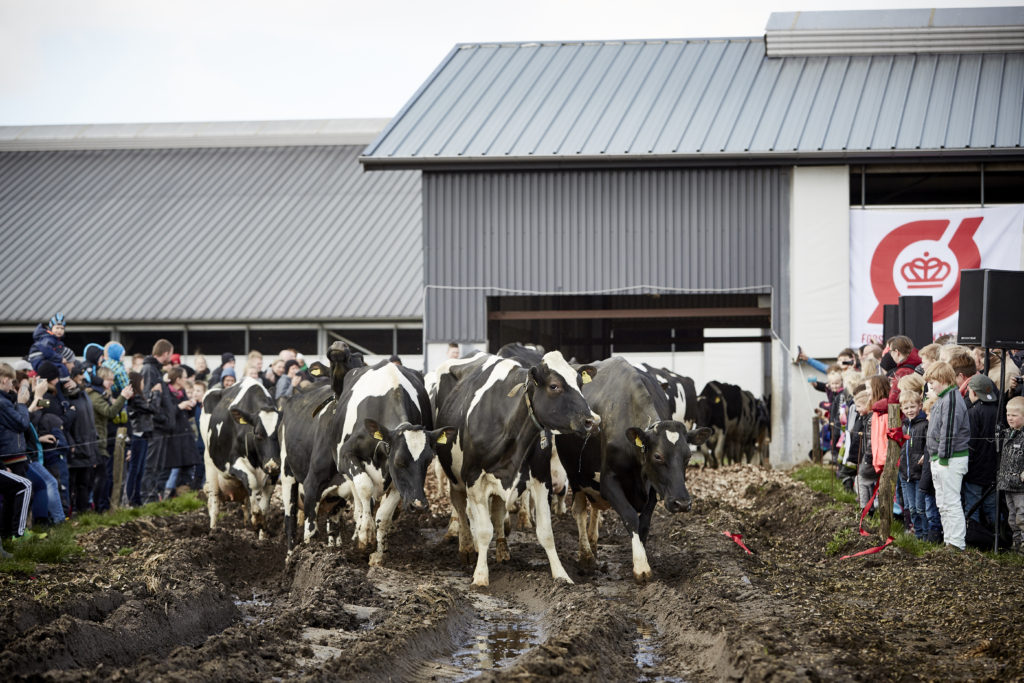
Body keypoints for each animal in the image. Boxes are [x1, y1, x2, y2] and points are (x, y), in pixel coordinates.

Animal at [199, 376, 282, 540]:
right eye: (258, 434)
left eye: (280, 431)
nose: (272, 465)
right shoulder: (233, 463)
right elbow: (252, 481)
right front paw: (257, 517)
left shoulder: (274, 471)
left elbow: (266, 502)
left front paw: (262, 535)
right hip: (210, 465)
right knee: (214, 502)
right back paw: (213, 532)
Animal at [432, 352, 598, 589]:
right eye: (554, 386)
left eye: (580, 383)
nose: (591, 421)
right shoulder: (474, 480)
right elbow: (484, 531)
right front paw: (480, 576)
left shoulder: (541, 479)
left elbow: (546, 532)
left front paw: (561, 575)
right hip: (455, 477)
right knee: (461, 509)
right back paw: (467, 548)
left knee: (497, 511)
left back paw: (502, 551)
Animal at [557, 358, 708, 581]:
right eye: (658, 456)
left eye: (688, 456)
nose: (682, 503)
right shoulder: (608, 482)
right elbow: (630, 517)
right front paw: (641, 567)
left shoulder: (653, 487)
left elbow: (643, 525)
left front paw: (641, 557)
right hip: (576, 478)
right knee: (580, 511)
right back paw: (586, 558)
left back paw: (593, 544)